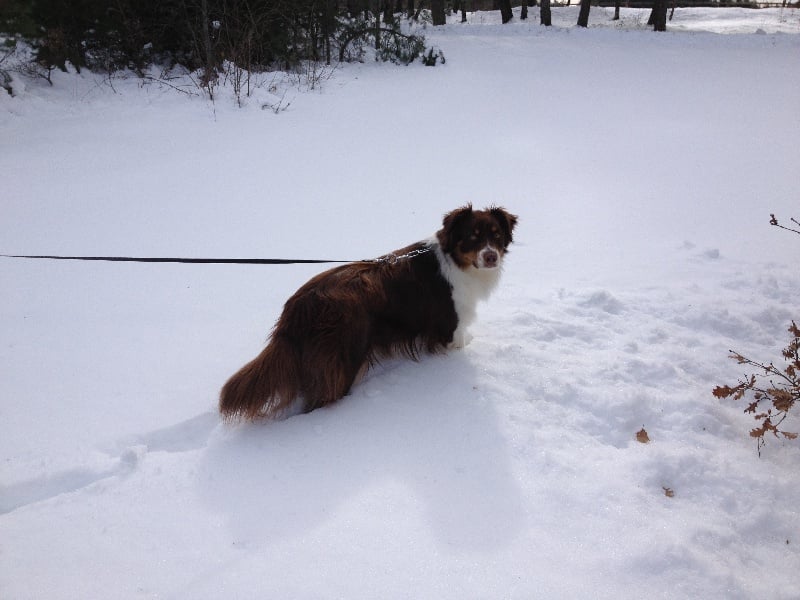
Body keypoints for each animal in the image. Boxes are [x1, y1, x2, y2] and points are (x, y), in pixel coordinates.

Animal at [220, 204, 520, 420]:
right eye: (472, 237)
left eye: (496, 235)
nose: (491, 257)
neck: (456, 261)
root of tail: (299, 307)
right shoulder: (449, 328)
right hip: (344, 357)